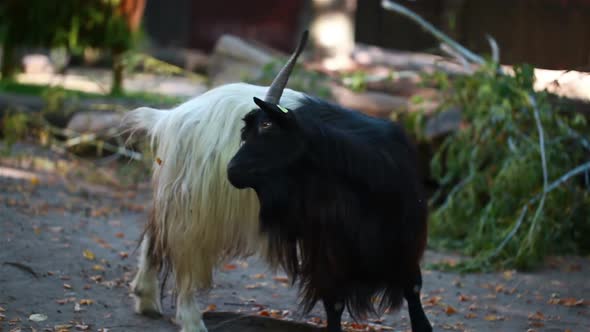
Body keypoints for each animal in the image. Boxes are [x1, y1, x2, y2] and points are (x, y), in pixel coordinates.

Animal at [123, 32, 312, 330]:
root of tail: (172, 116)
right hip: (196, 204)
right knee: (182, 253)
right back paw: (190, 318)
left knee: (157, 234)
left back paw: (147, 300)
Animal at [227, 36, 434, 332]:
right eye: (246, 134)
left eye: (268, 127)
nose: (232, 170)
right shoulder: (329, 256)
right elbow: (333, 305)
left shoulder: (405, 246)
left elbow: (415, 297)